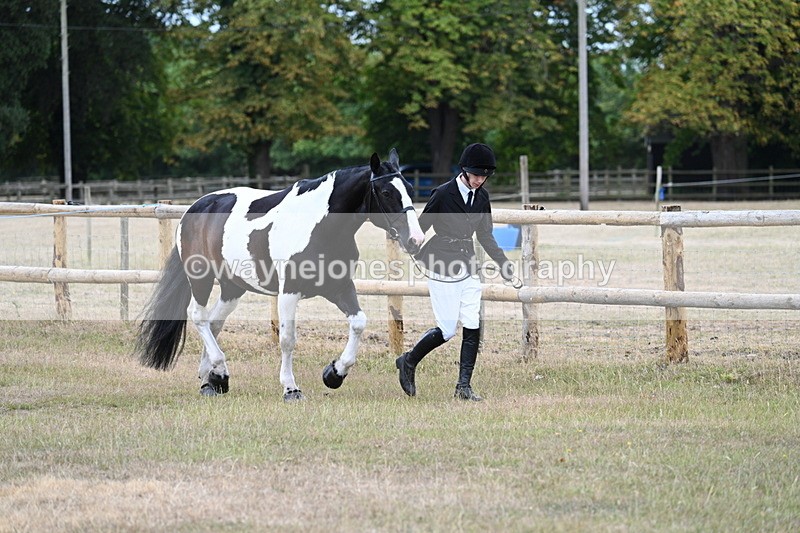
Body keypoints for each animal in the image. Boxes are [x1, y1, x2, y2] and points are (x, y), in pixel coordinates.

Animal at [135, 149, 425, 401]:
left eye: (410, 190)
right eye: (386, 192)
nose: (416, 239)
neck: (320, 226)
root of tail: (195, 208)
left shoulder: (340, 287)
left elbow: (359, 323)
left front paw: (334, 373)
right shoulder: (289, 292)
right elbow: (287, 340)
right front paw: (291, 388)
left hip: (232, 287)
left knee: (214, 323)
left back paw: (211, 380)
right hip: (201, 278)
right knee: (199, 317)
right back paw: (221, 372)